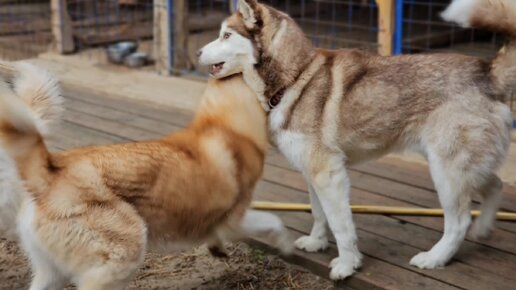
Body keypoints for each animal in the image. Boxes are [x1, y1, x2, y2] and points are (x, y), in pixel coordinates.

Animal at [0, 64, 290, 290]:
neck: (225, 123)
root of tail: (48, 171)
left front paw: (217, 250)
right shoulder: (234, 220)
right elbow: (274, 222)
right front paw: (287, 246)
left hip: (52, 274)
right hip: (124, 253)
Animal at [199, 0, 516, 280]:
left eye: (226, 35)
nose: (200, 51)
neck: (295, 78)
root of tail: (487, 71)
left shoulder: (328, 175)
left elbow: (341, 225)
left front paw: (347, 264)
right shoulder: (312, 173)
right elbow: (318, 213)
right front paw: (317, 242)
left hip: (445, 171)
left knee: (459, 221)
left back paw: (436, 257)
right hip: (462, 165)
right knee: (495, 185)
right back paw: (484, 228)